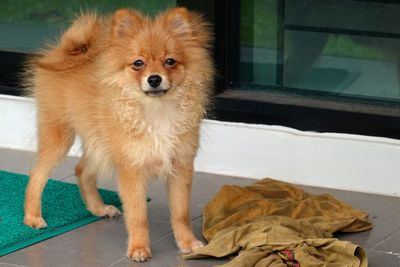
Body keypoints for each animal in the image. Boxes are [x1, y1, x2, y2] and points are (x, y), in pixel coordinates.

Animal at [23, 7, 214, 262]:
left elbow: (180, 213)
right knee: (37, 175)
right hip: (59, 137)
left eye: (170, 61)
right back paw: (32, 217)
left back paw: (98, 208)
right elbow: (138, 215)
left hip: (99, 142)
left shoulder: (180, 166)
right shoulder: (131, 169)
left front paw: (188, 242)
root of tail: (65, 51)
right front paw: (139, 248)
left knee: (81, 170)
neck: (156, 111)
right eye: (138, 63)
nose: (154, 79)